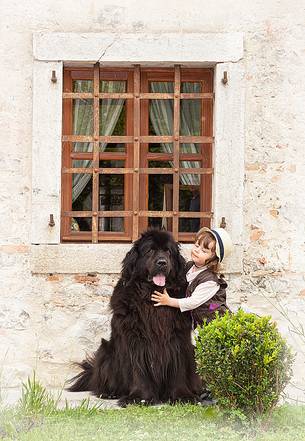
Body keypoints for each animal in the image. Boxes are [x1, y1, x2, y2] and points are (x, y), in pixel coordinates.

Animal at [69, 230, 202, 406]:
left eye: (168, 251)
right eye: (150, 250)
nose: (162, 262)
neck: (152, 297)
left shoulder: (178, 338)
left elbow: (178, 368)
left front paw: (182, 396)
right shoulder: (134, 340)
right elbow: (137, 369)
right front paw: (140, 398)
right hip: (105, 350)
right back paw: (109, 393)